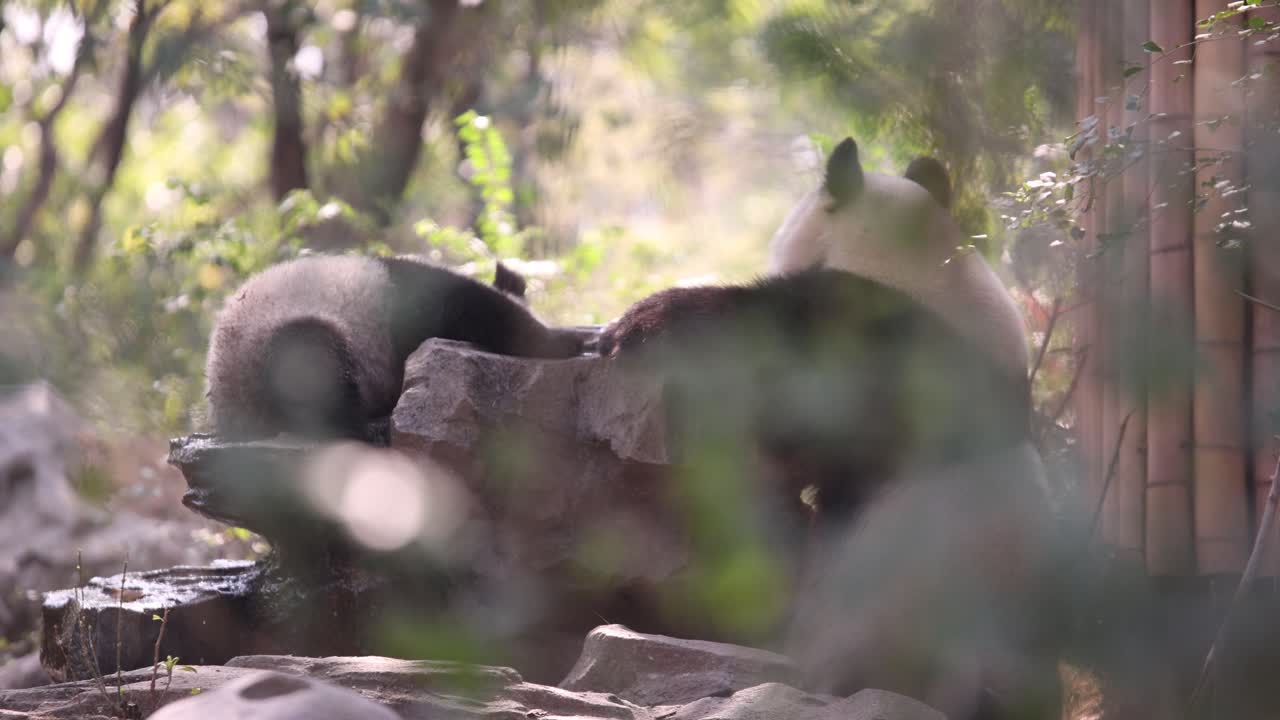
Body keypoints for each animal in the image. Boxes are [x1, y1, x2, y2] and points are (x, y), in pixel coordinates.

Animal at [206, 254, 582, 440]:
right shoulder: (415, 302)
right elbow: (479, 314)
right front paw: (569, 342)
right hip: (272, 342)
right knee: (315, 368)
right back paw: (368, 427)